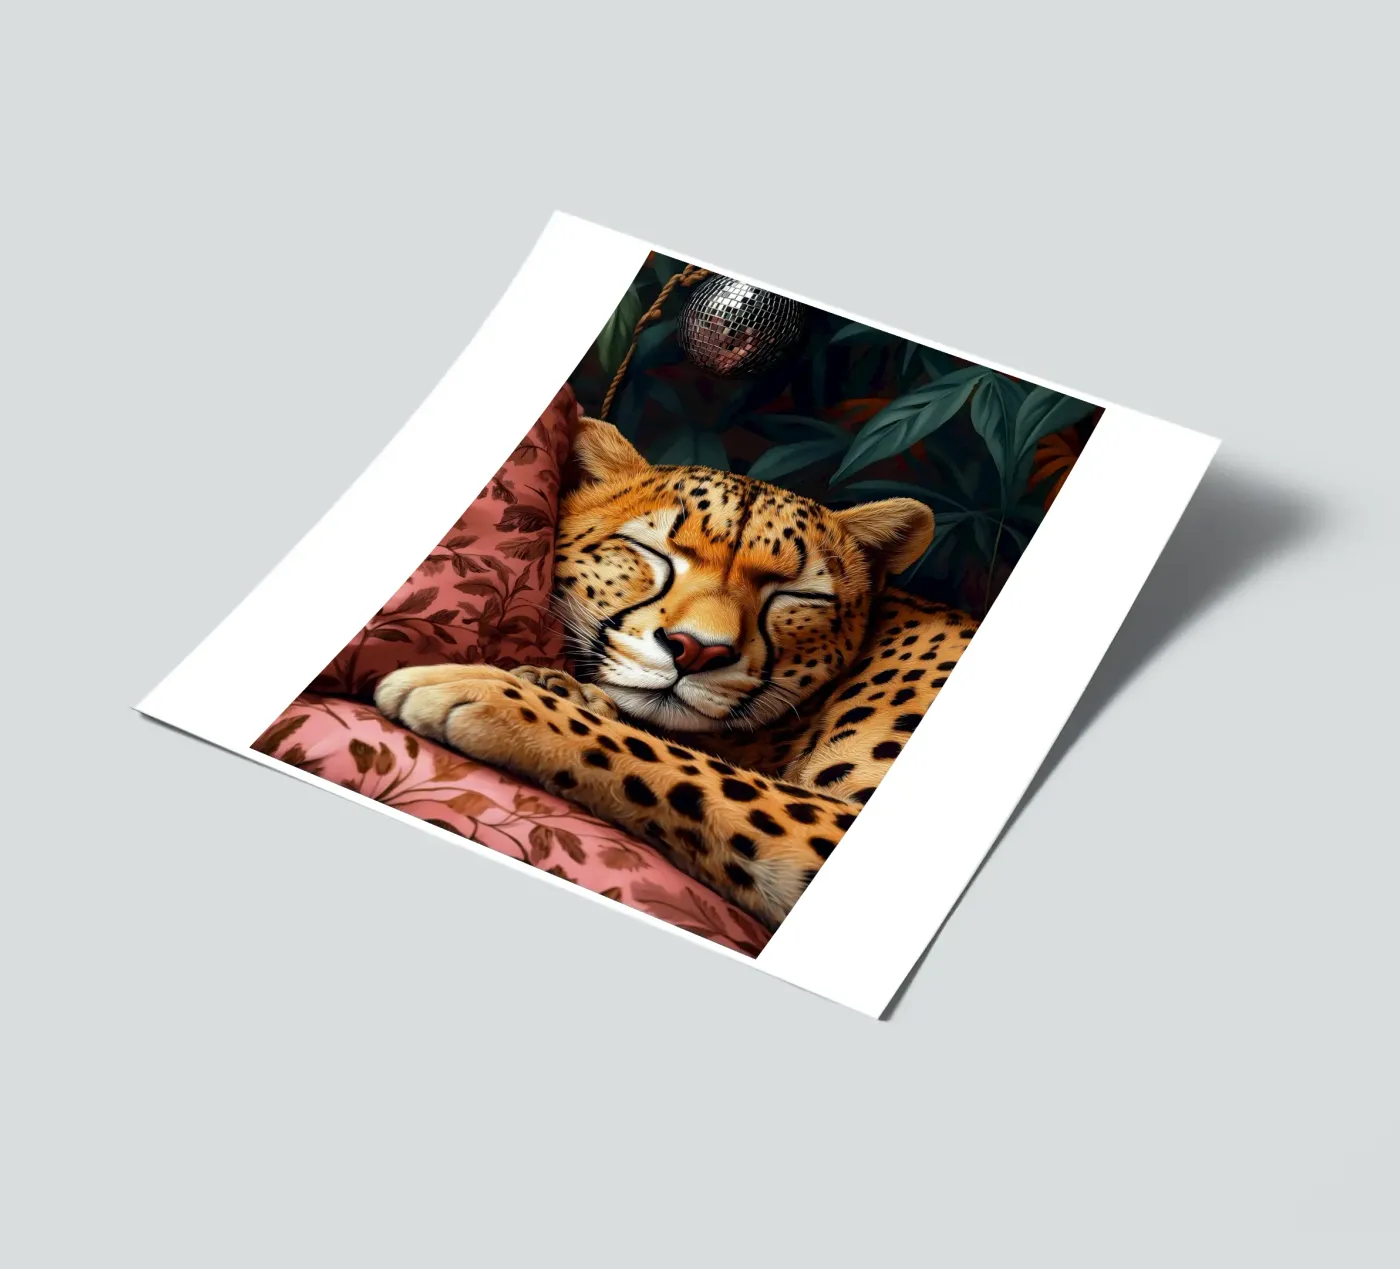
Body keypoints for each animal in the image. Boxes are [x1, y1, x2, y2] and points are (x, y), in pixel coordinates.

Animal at [377, 416, 978, 929]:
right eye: (650, 551)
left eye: (796, 595)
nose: (695, 652)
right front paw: (560, 687)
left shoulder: (832, 824)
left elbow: (682, 764)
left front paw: (480, 689)